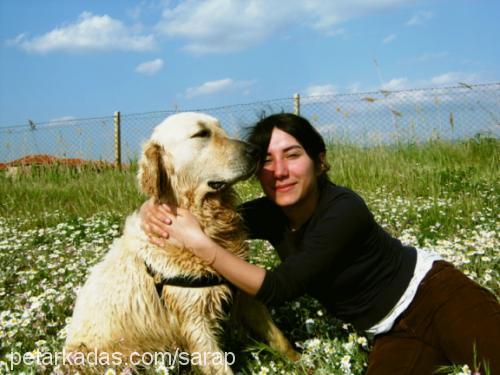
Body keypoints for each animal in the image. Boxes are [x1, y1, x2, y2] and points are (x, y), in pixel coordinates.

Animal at [62, 113, 296, 374]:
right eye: (201, 134)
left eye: (221, 129)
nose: (256, 151)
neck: (203, 222)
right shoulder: (196, 320)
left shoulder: (245, 292)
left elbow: (280, 338)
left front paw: (301, 362)